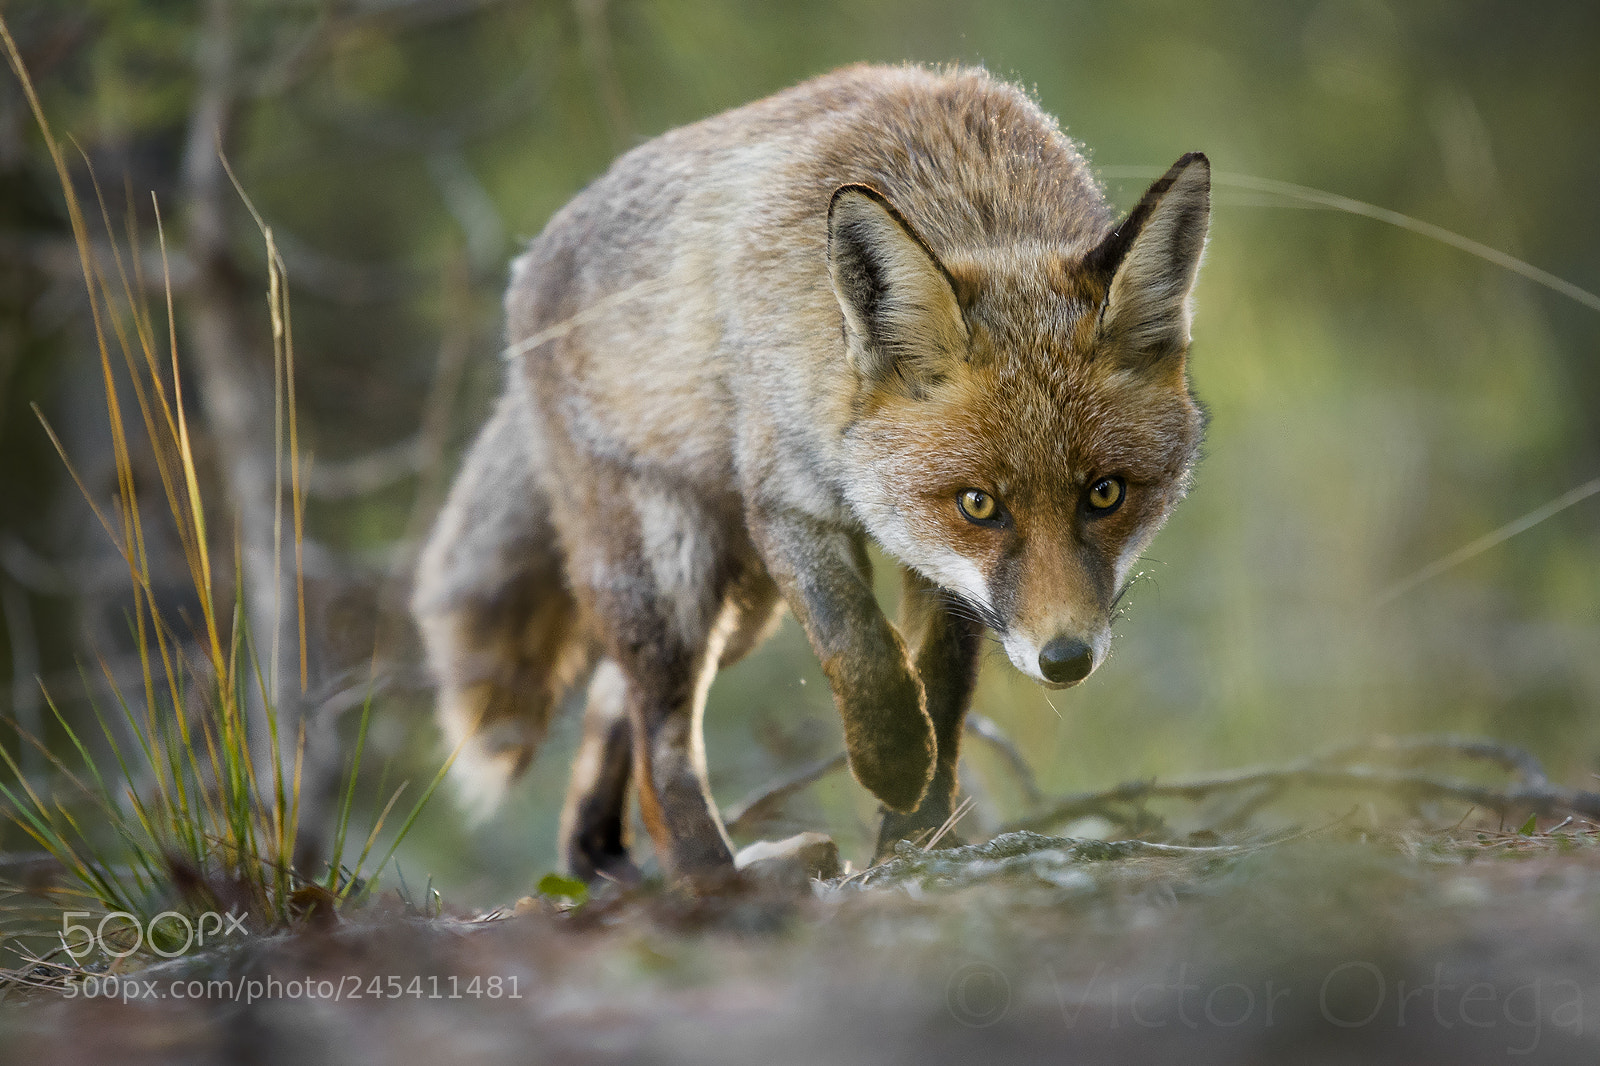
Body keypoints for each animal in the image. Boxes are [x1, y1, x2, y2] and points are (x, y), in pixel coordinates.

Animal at [412, 64, 1209, 886]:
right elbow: (859, 646)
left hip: (738, 609)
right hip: (674, 575)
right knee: (662, 741)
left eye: (1105, 493)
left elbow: (940, 691)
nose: (1065, 659)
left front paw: (915, 837)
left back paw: (597, 855)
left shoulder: (942, 567)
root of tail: (526, 268)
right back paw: (709, 878)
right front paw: (895, 764)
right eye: (980, 504)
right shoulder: (787, 504)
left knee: (613, 699)